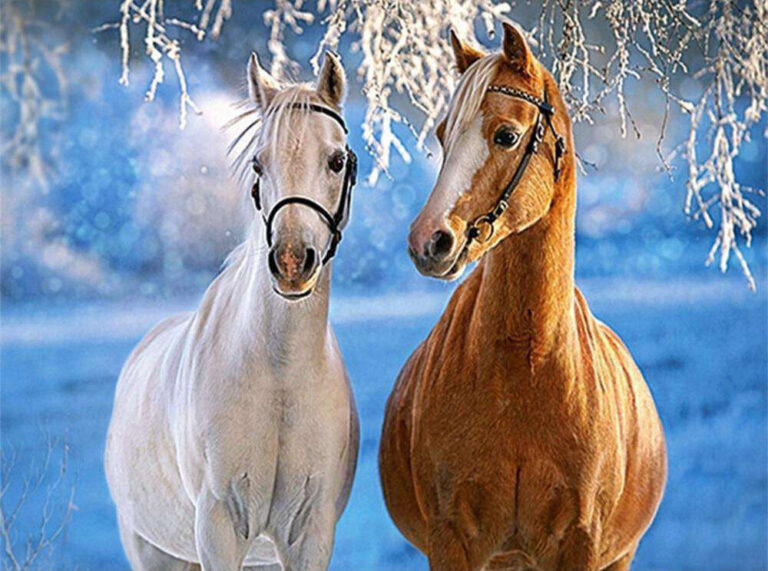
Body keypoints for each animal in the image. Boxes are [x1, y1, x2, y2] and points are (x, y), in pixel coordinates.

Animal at [105, 52, 359, 571]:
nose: (291, 262)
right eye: (259, 162)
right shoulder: (219, 528)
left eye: (336, 160)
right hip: (152, 550)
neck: (280, 377)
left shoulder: (310, 534)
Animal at [379, 22, 666, 571]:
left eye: (506, 135)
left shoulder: (582, 543)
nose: (429, 241)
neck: (524, 368)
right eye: (443, 135)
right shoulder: (451, 542)